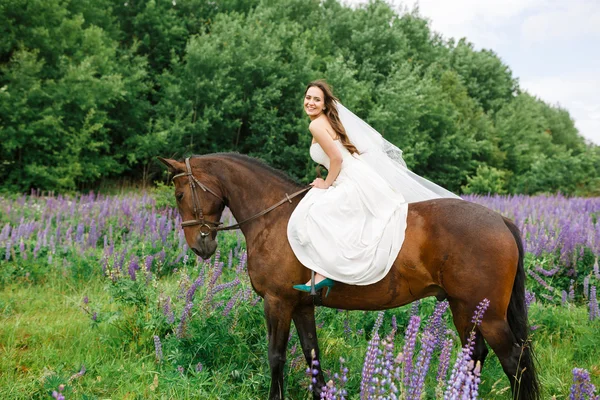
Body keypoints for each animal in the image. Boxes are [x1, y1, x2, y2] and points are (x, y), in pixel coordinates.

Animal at [157, 154, 540, 400]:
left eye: (180, 193)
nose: (199, 245)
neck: (275, 217)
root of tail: (500, 220)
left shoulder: (278, 303)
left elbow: (276, 357)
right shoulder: (301, 306)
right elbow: (312, 355)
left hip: (486, 315)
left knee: (514, 360)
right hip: (465, 311)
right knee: (474, 359)